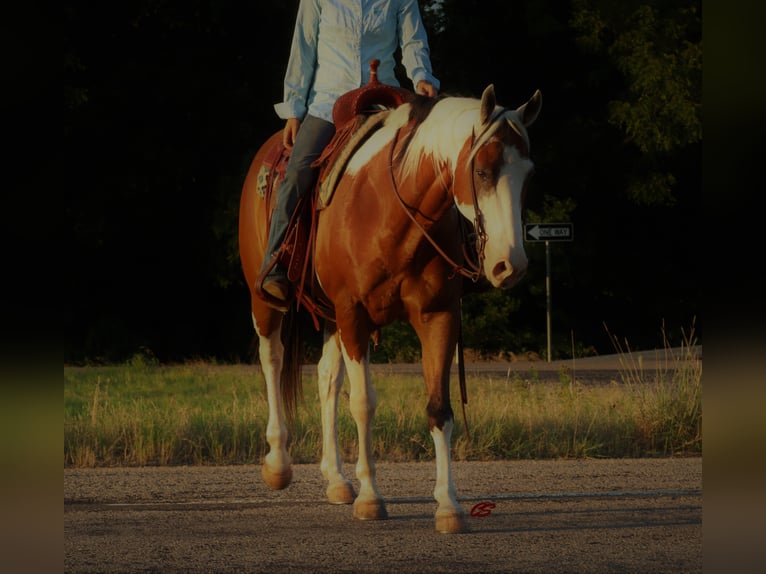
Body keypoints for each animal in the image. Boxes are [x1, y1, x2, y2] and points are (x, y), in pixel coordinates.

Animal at [237, 82, 544, 536]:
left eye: (529, 176)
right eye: (484, 171)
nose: (511, 265)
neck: (393, 214)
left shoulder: (438, 316)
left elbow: (439, 408)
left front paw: (448, 505)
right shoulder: (354, 314)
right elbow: (363, 403)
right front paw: (371, 498)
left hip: (330, 315)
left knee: (327, 379)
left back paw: (336, 479)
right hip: (268, 301)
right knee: (272, 360)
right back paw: (278, 463)